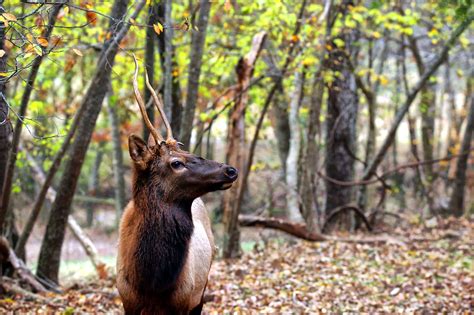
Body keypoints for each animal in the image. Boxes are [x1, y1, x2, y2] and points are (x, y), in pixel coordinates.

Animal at [117, 57, 239, 315]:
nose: (230, 170)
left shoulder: (184, 301)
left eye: (188, 152)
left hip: (200, 292)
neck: (152, 280)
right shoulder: (127, 300)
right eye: (176, 163)